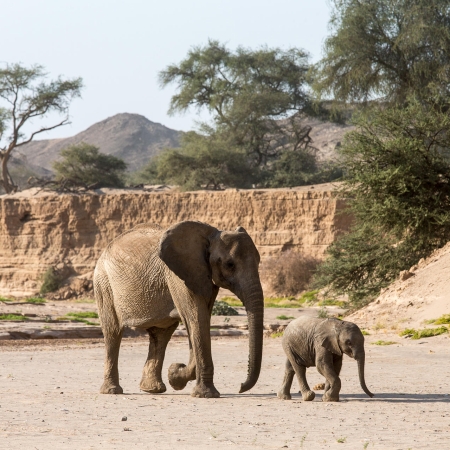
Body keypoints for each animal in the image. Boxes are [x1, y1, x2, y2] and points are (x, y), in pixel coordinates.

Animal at [94, 221, 264, 398]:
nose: (241, 387)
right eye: (230, 264)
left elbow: (200, 321)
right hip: (104, 284)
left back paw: (153, 389)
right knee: (113, 331)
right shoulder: (178, 277)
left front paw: (175, 375)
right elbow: (197, 319)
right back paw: (112, 391)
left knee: (161, 334)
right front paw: (200, 391)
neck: (209, 235)